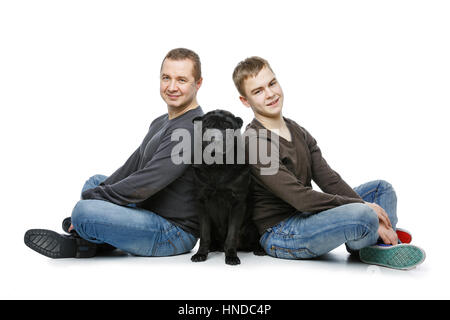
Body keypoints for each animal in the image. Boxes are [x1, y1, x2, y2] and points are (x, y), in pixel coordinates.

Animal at [191, 110, 264, 264]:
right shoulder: (201, 201)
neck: (218, 166)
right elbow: (204, 233)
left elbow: (232, 234)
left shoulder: (237, 202)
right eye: (207, 126)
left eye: (228, 126)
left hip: (251, 225)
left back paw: (259, 250)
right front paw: (201, 254)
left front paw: (231, 256)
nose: (216, 139)